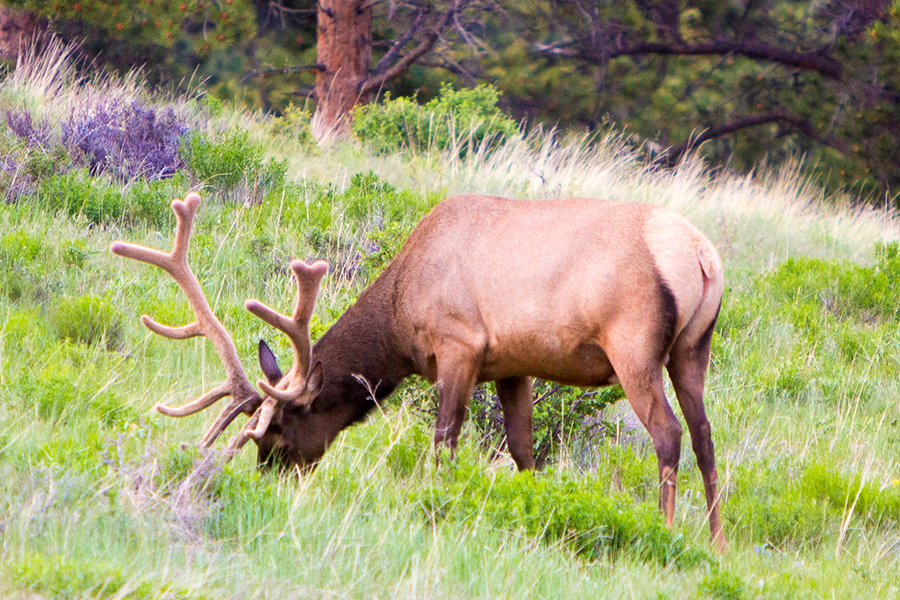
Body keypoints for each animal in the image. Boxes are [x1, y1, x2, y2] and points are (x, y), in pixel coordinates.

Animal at [109, 191, 728, 548]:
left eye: (277, 433)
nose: (270, 482)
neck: (400, 316)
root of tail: (703, 256)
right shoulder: (514, 364)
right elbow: (523, 452)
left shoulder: (460, 344)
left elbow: (444, 441)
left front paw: (436, 509)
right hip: (692, 351)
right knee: (705, 436)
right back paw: (716, 543)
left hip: (634, 345)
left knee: (669, 433)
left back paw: (665, 531)